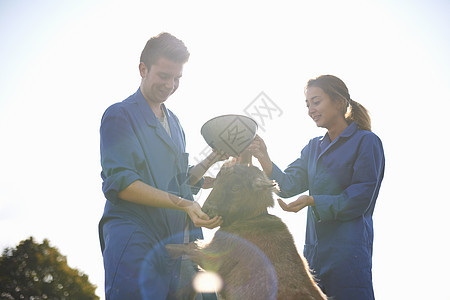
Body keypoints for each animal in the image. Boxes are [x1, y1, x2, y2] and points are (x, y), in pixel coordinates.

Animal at [165, 165, 326, 298]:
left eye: (236, 188)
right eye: (216, 183)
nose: (207, 211)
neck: (252, 219)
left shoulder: (216, 253)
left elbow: (190, 248)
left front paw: (168, 248)